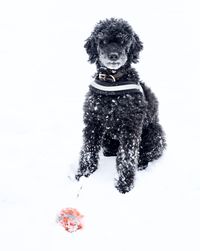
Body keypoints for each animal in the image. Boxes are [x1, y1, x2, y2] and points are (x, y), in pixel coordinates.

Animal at [75, 18, 166, 193]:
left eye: (123, 41)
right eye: (102, 41)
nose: (113, 55)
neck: (113, 81)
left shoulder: (130, 127)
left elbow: (127, 158)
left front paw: (124, 185)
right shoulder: (93, 122)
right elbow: (88, 150)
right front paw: (84, 173)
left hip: (154, 134)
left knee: (146, 154)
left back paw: (141, 164)